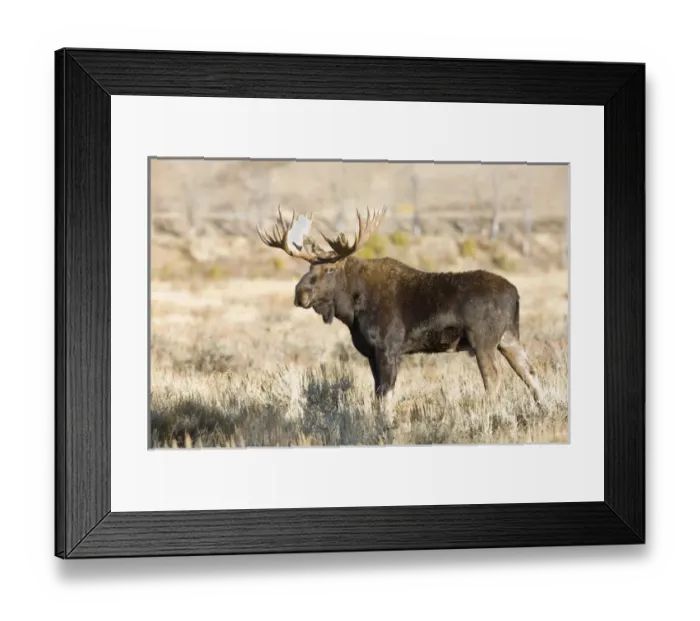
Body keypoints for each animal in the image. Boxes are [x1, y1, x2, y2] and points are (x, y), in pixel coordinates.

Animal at [257, 205, 544, 435]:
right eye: (308, 267)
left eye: (329, 269)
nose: (300, 293)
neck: (351, 309)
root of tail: (515, 294)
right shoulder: (372, 353)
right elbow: (377, 394)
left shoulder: (388, 349)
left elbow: (386, 394)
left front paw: (385, 426)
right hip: (509, 338)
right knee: (529, 371)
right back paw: (544, 408)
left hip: (483, 341)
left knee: (494, 378)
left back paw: (490, 416)